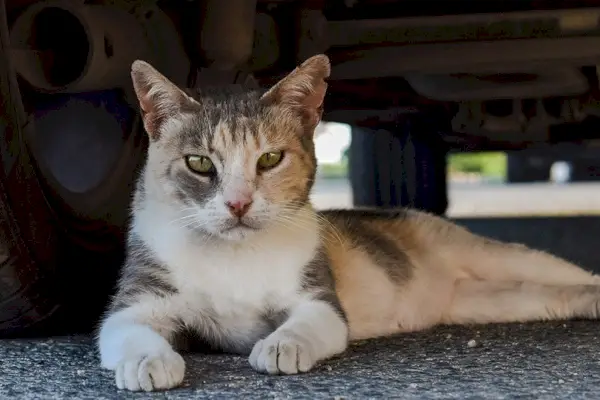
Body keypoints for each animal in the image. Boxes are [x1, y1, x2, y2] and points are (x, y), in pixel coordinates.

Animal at [96, 53, 600, 390]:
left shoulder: (319, 301)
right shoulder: (134, 305)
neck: (234, 256)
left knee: (567, 271)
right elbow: (127, 332)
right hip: (492, 302)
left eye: (270, 159)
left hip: (498, 257)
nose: (238, 204)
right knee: (547, 296)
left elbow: (303, 324)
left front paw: (281, 346)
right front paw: (147, 363)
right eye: (199, 163)